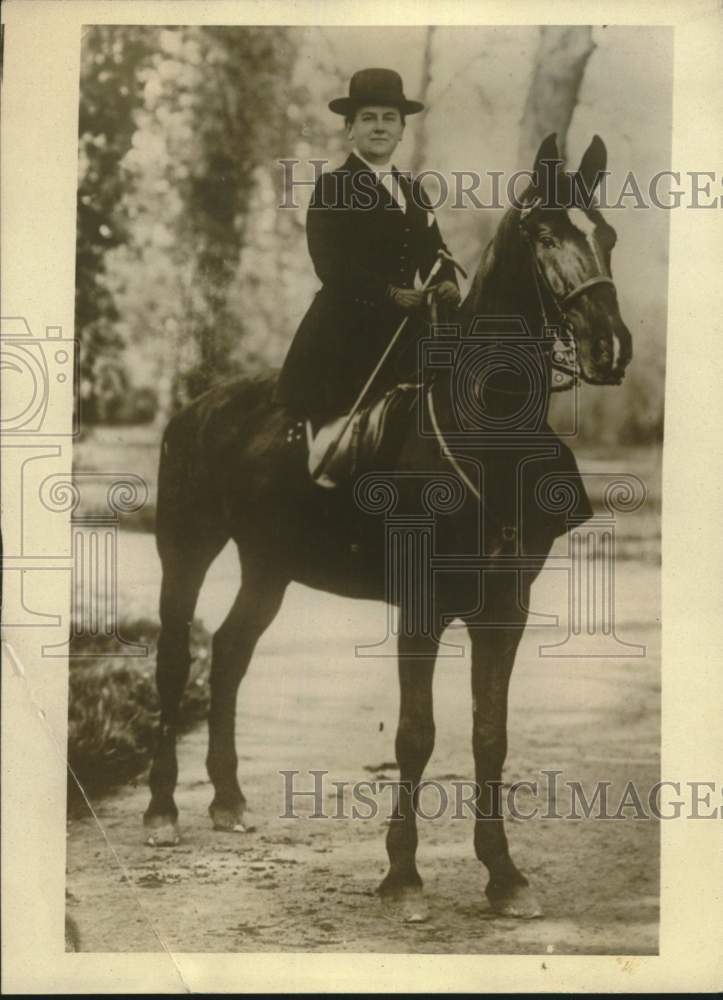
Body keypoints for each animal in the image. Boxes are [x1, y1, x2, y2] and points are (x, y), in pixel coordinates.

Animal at [143, 133, 633, 923]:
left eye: (606, 235)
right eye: (544, 235)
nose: (609, 348)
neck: (485, 431)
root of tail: (199, 404)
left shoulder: (505, 608)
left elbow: (489, 736)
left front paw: (503, 875)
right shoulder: (420, 608)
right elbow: (416, 735)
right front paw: (402, 874)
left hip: (268, 565)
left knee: (229, 651)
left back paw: (228, 799)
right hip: (185, 548)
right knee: (171, 659)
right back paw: (162, 810)